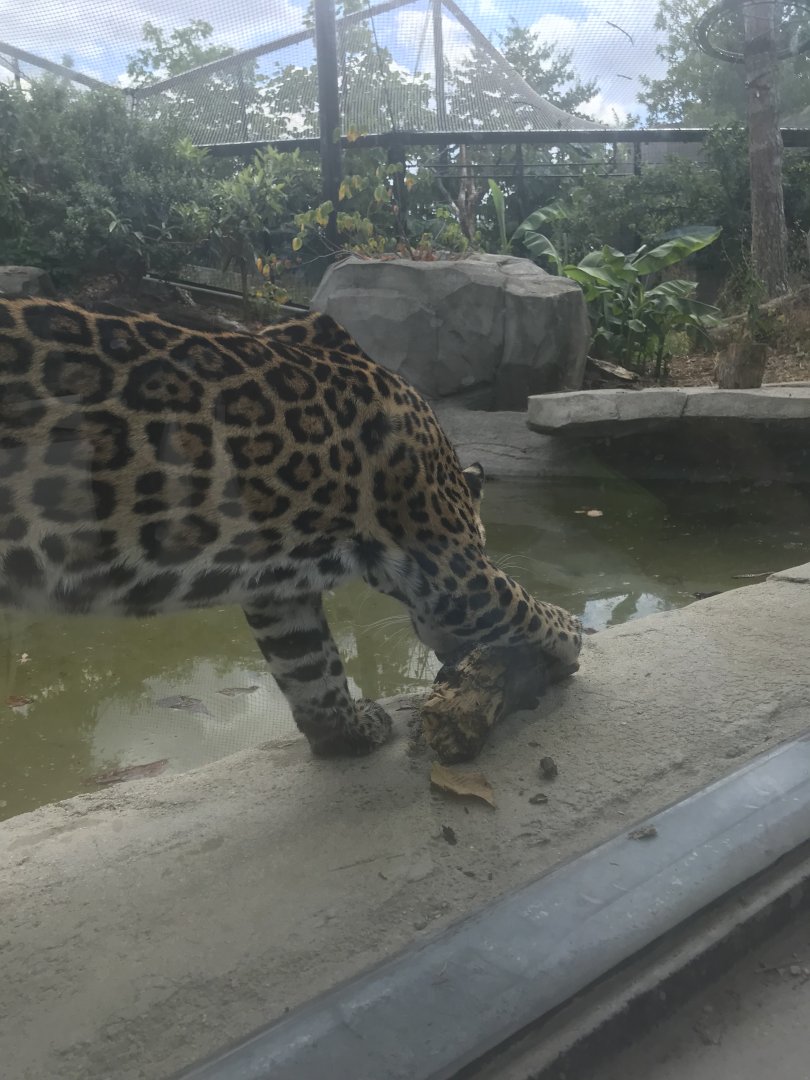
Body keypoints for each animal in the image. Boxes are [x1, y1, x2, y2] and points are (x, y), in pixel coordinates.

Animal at [0, 297, 582, 757]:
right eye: (481, 542)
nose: (446, 655)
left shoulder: (276, 586)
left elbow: (309, 664)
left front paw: (346, 734)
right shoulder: (451, 568)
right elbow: (522, 603)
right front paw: (572, 634)